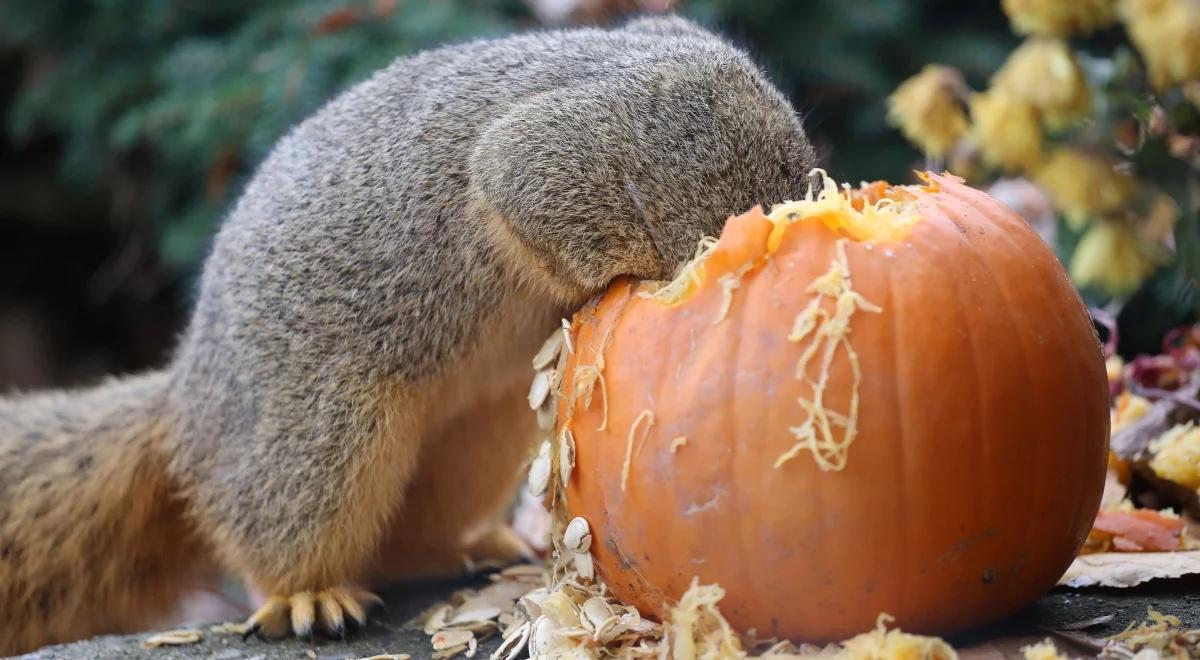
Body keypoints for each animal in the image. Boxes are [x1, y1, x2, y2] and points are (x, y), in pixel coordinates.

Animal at [0, 15, 816, 657]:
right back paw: (305, 595)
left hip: (475, 438)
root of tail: (188, 397)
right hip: (318, 432)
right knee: (274, 523)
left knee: (414, 532)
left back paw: (479, 545)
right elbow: (520, 187)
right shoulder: (559, 155)